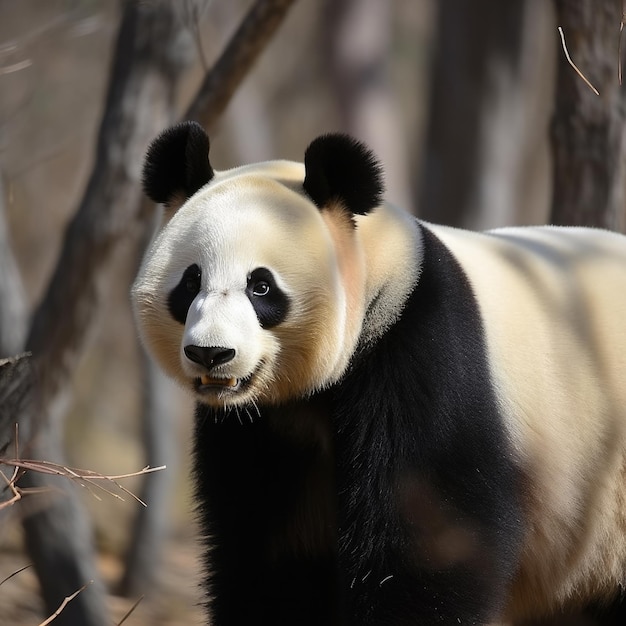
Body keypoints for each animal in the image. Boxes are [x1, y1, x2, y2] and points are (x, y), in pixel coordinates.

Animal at [130, 120, 624, 624]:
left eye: (261, 286)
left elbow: (428, 537)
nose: (211, 353)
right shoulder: (262, 425)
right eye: (191, 281)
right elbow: (270, 545)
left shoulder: (420, 350)